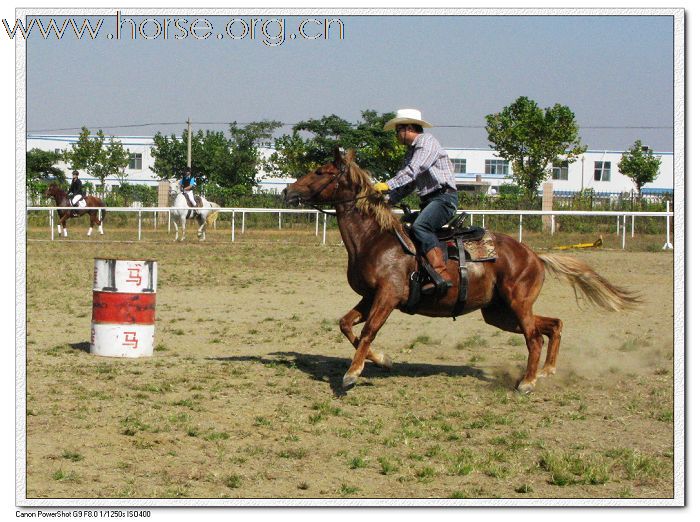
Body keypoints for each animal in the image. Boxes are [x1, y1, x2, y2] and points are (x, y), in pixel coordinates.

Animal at [284, 148, 640, 392]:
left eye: (320, 171)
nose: (287, 191)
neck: (376, 239)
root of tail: (535, 256)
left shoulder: (387, 296)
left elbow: (369, 330)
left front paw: (352, 374)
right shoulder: (370, 296)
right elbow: (346, 325)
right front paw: (383, 360)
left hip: (517, 304)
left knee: (534, 338)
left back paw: (527, 382)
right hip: (499, 312)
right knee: (553, 325)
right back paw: (547, 371)